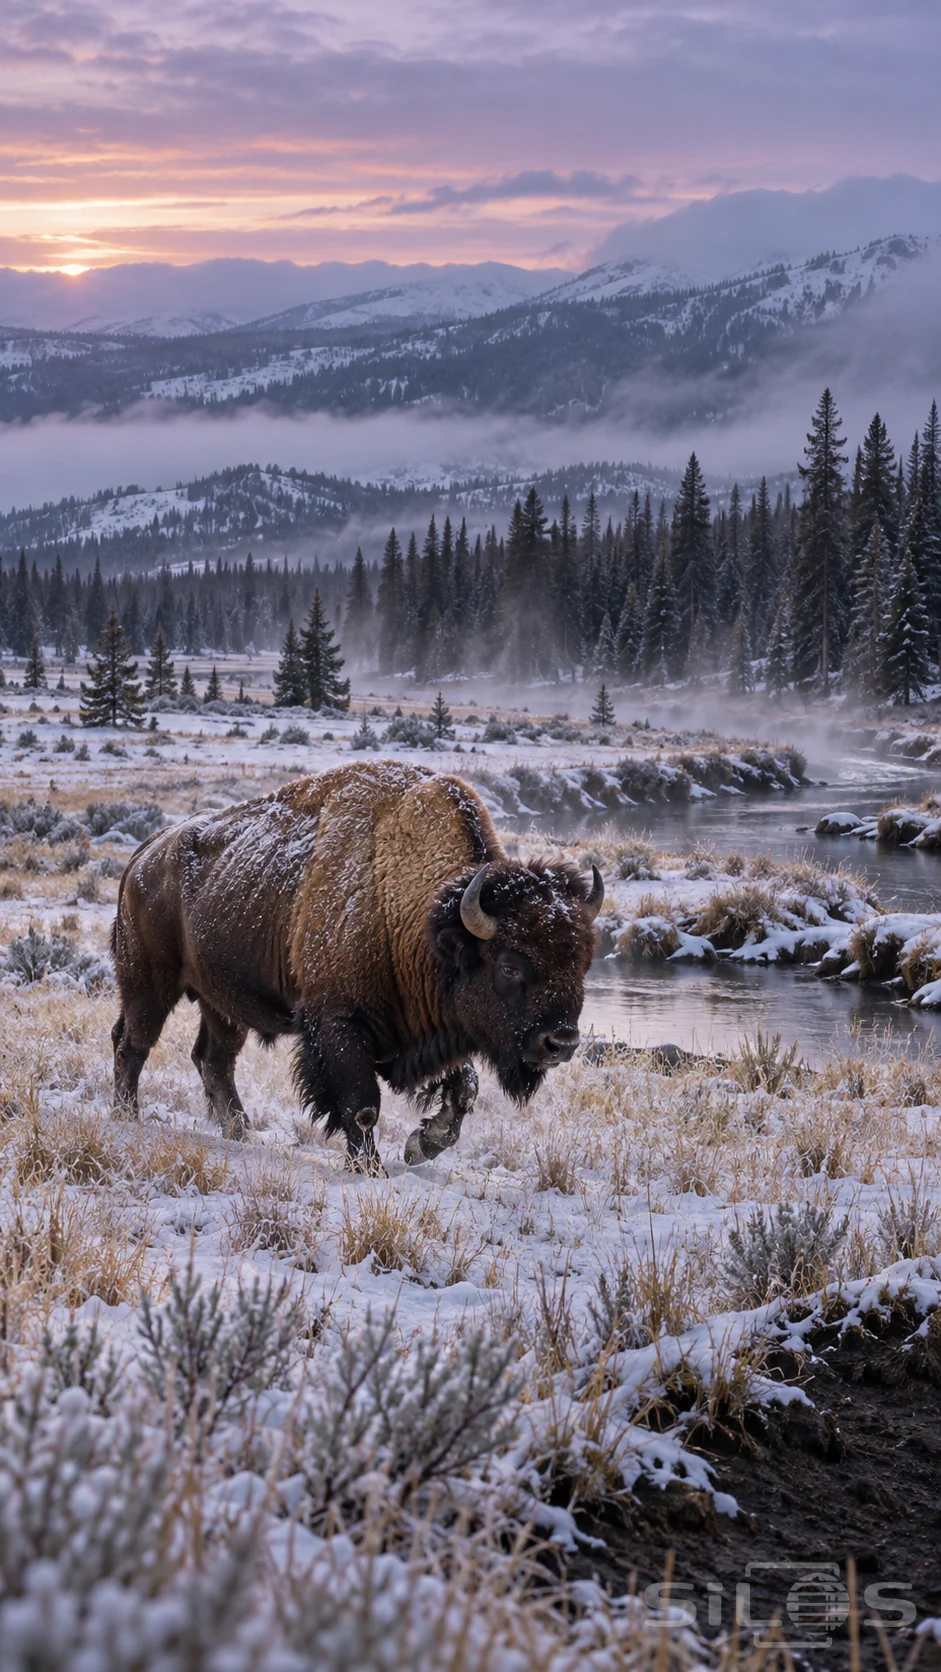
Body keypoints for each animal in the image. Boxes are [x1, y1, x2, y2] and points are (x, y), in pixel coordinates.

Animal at [111, 761, 602, 1171]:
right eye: (509, 966)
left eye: (582, 962)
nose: (561, 1043)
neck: (406, 908)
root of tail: (146, 853)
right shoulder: (338, 1024)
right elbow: (362, 1105)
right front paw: (369, 1168)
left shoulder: (436, 1023)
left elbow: (463, 1089)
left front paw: (422, 1145)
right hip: (149, 983)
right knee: (133, 1044)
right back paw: (127, 1115)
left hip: (223, 1001)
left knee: (213, 1059)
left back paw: (240, 1131)